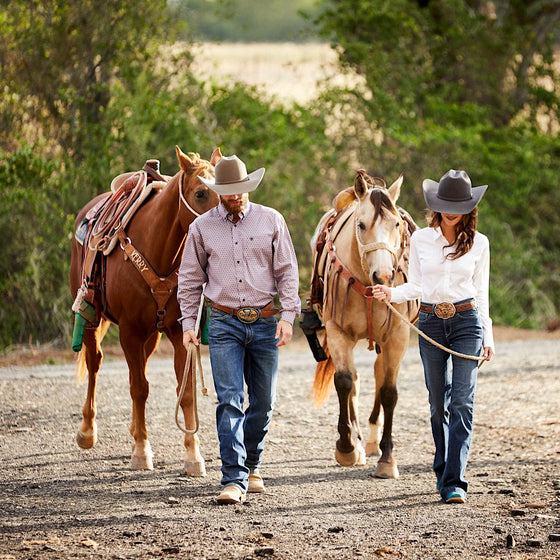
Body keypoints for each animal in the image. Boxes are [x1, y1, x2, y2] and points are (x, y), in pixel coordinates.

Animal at [69, 147, 220, 474]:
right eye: (201, 193)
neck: (159, 252)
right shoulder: (130, 331)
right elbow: (138, 388)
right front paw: (141, 450)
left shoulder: (176, 331)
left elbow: (185, 391)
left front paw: (193, 455)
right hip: (91, 317)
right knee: (95, 363)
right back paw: (87, 431)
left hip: (153, 335)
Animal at [312, 170, 418, 476]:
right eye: (361, 224)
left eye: (396, 224)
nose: (383, 276)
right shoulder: (338, 333)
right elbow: (345, 382)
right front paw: (347, 447)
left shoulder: (397, 336)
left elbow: (389, 392)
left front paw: (387, 458)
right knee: (356, 381)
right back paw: (360, 444)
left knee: (379, 374)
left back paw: (372, 441)